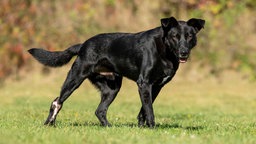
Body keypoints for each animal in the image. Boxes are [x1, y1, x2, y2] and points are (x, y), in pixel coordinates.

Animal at [28, 16, 205, 127]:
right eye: (175, 36)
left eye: (190, 36)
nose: (183, 52)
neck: (165, 50)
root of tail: (83, 45)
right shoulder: (144, 83)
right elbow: (149, 110)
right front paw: (152, 128)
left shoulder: (155, 86)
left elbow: (144, 109)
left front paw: (142, 128)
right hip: (75, 77)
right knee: (57, 101)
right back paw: (49, 123)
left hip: (112, 87)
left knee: (100, 110)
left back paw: (108, 127)